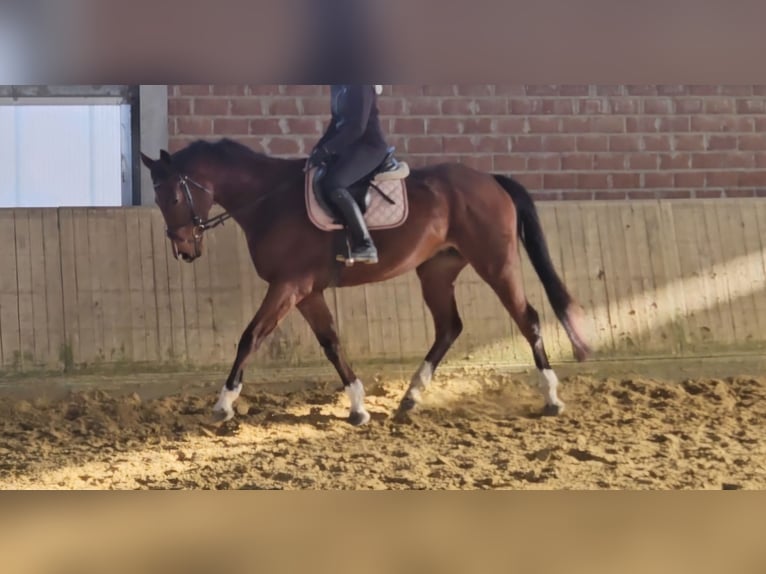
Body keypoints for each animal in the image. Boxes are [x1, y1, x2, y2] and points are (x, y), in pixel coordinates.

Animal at [140, 138, 590, 426]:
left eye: (174, 197)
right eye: (158, 199)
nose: (185, 250)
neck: (270, 199)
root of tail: (491, 179)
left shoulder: (289, 286)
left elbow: (250, 337)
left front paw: (224, 404)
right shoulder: (307, 292)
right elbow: (331, 342)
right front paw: (358, 408)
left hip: (495, 263)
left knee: (527, 318)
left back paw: (551, 398)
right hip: (437, 271)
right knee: (449, 327)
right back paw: (410, 398)